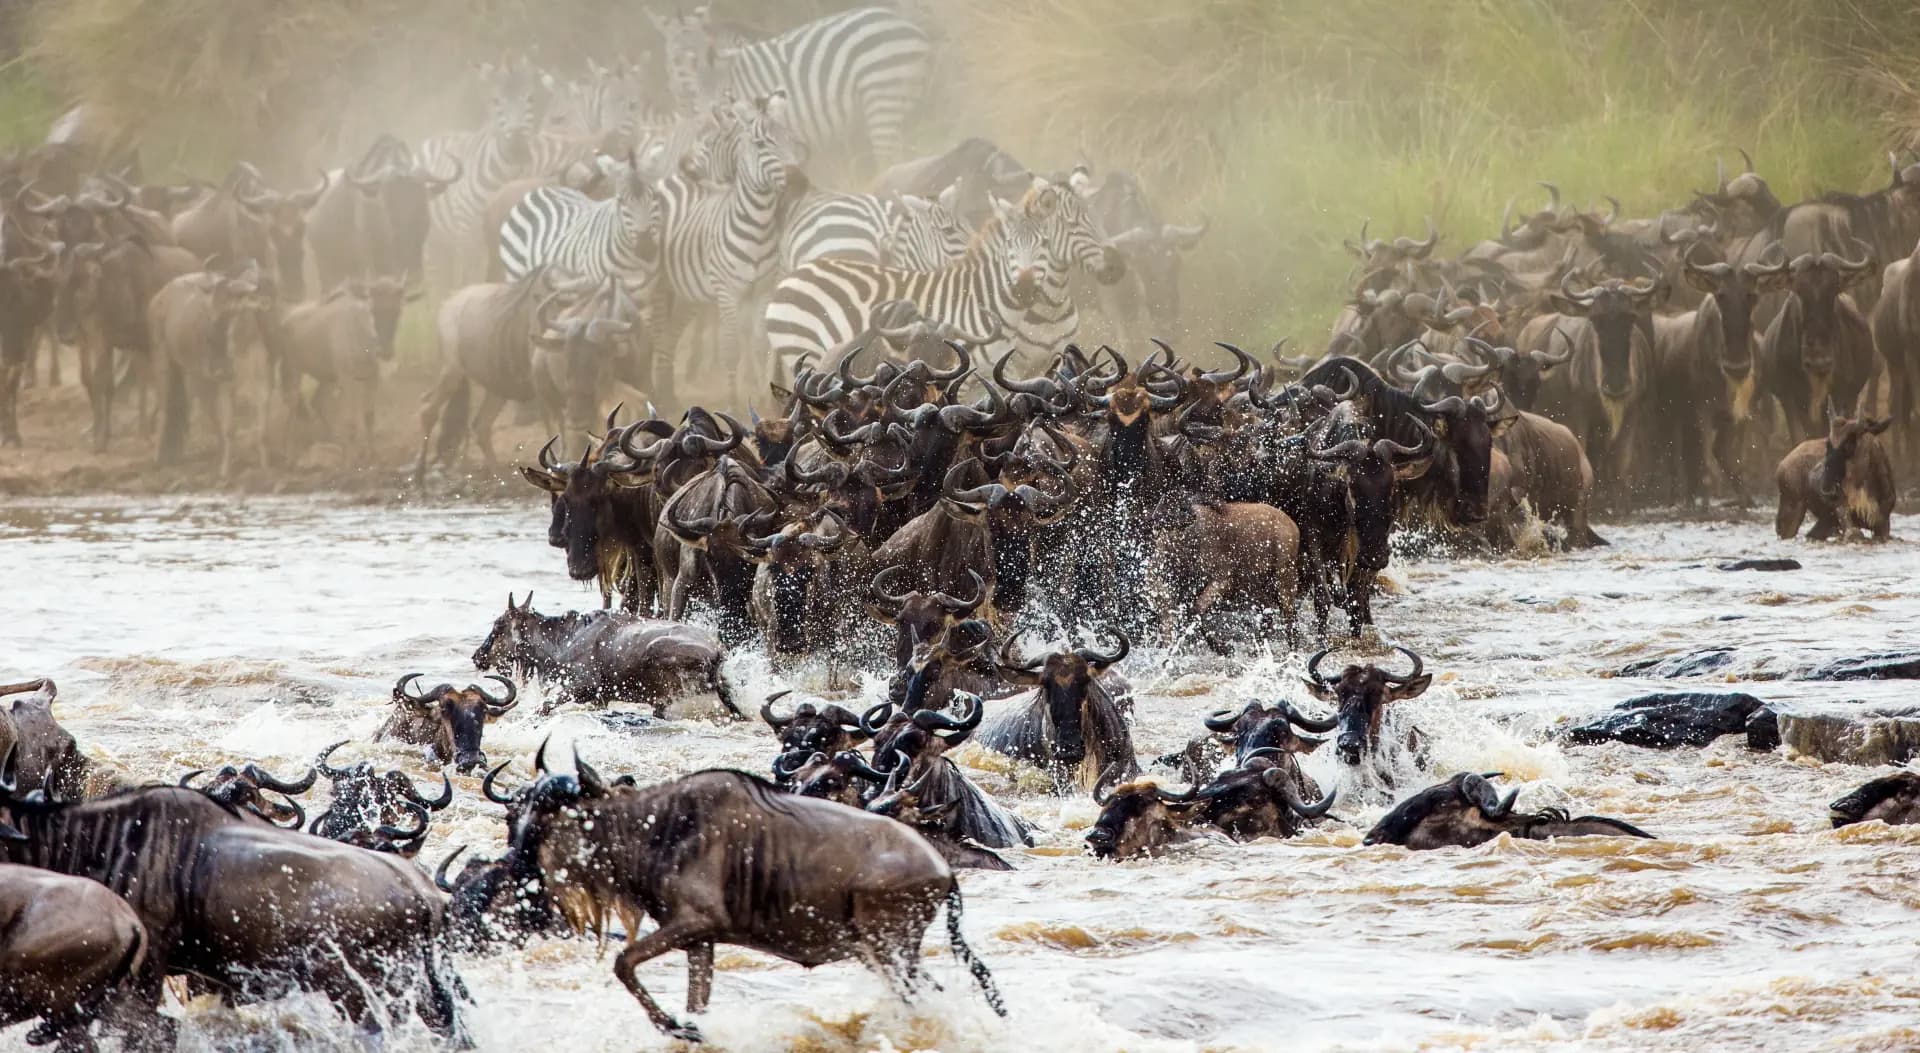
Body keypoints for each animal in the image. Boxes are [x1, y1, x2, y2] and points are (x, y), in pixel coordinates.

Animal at [651, 6, 931, 173]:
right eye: (674, 59)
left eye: (702, 56)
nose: (686, 95)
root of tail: (908, 25)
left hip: (881, 96)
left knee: (889, 159)